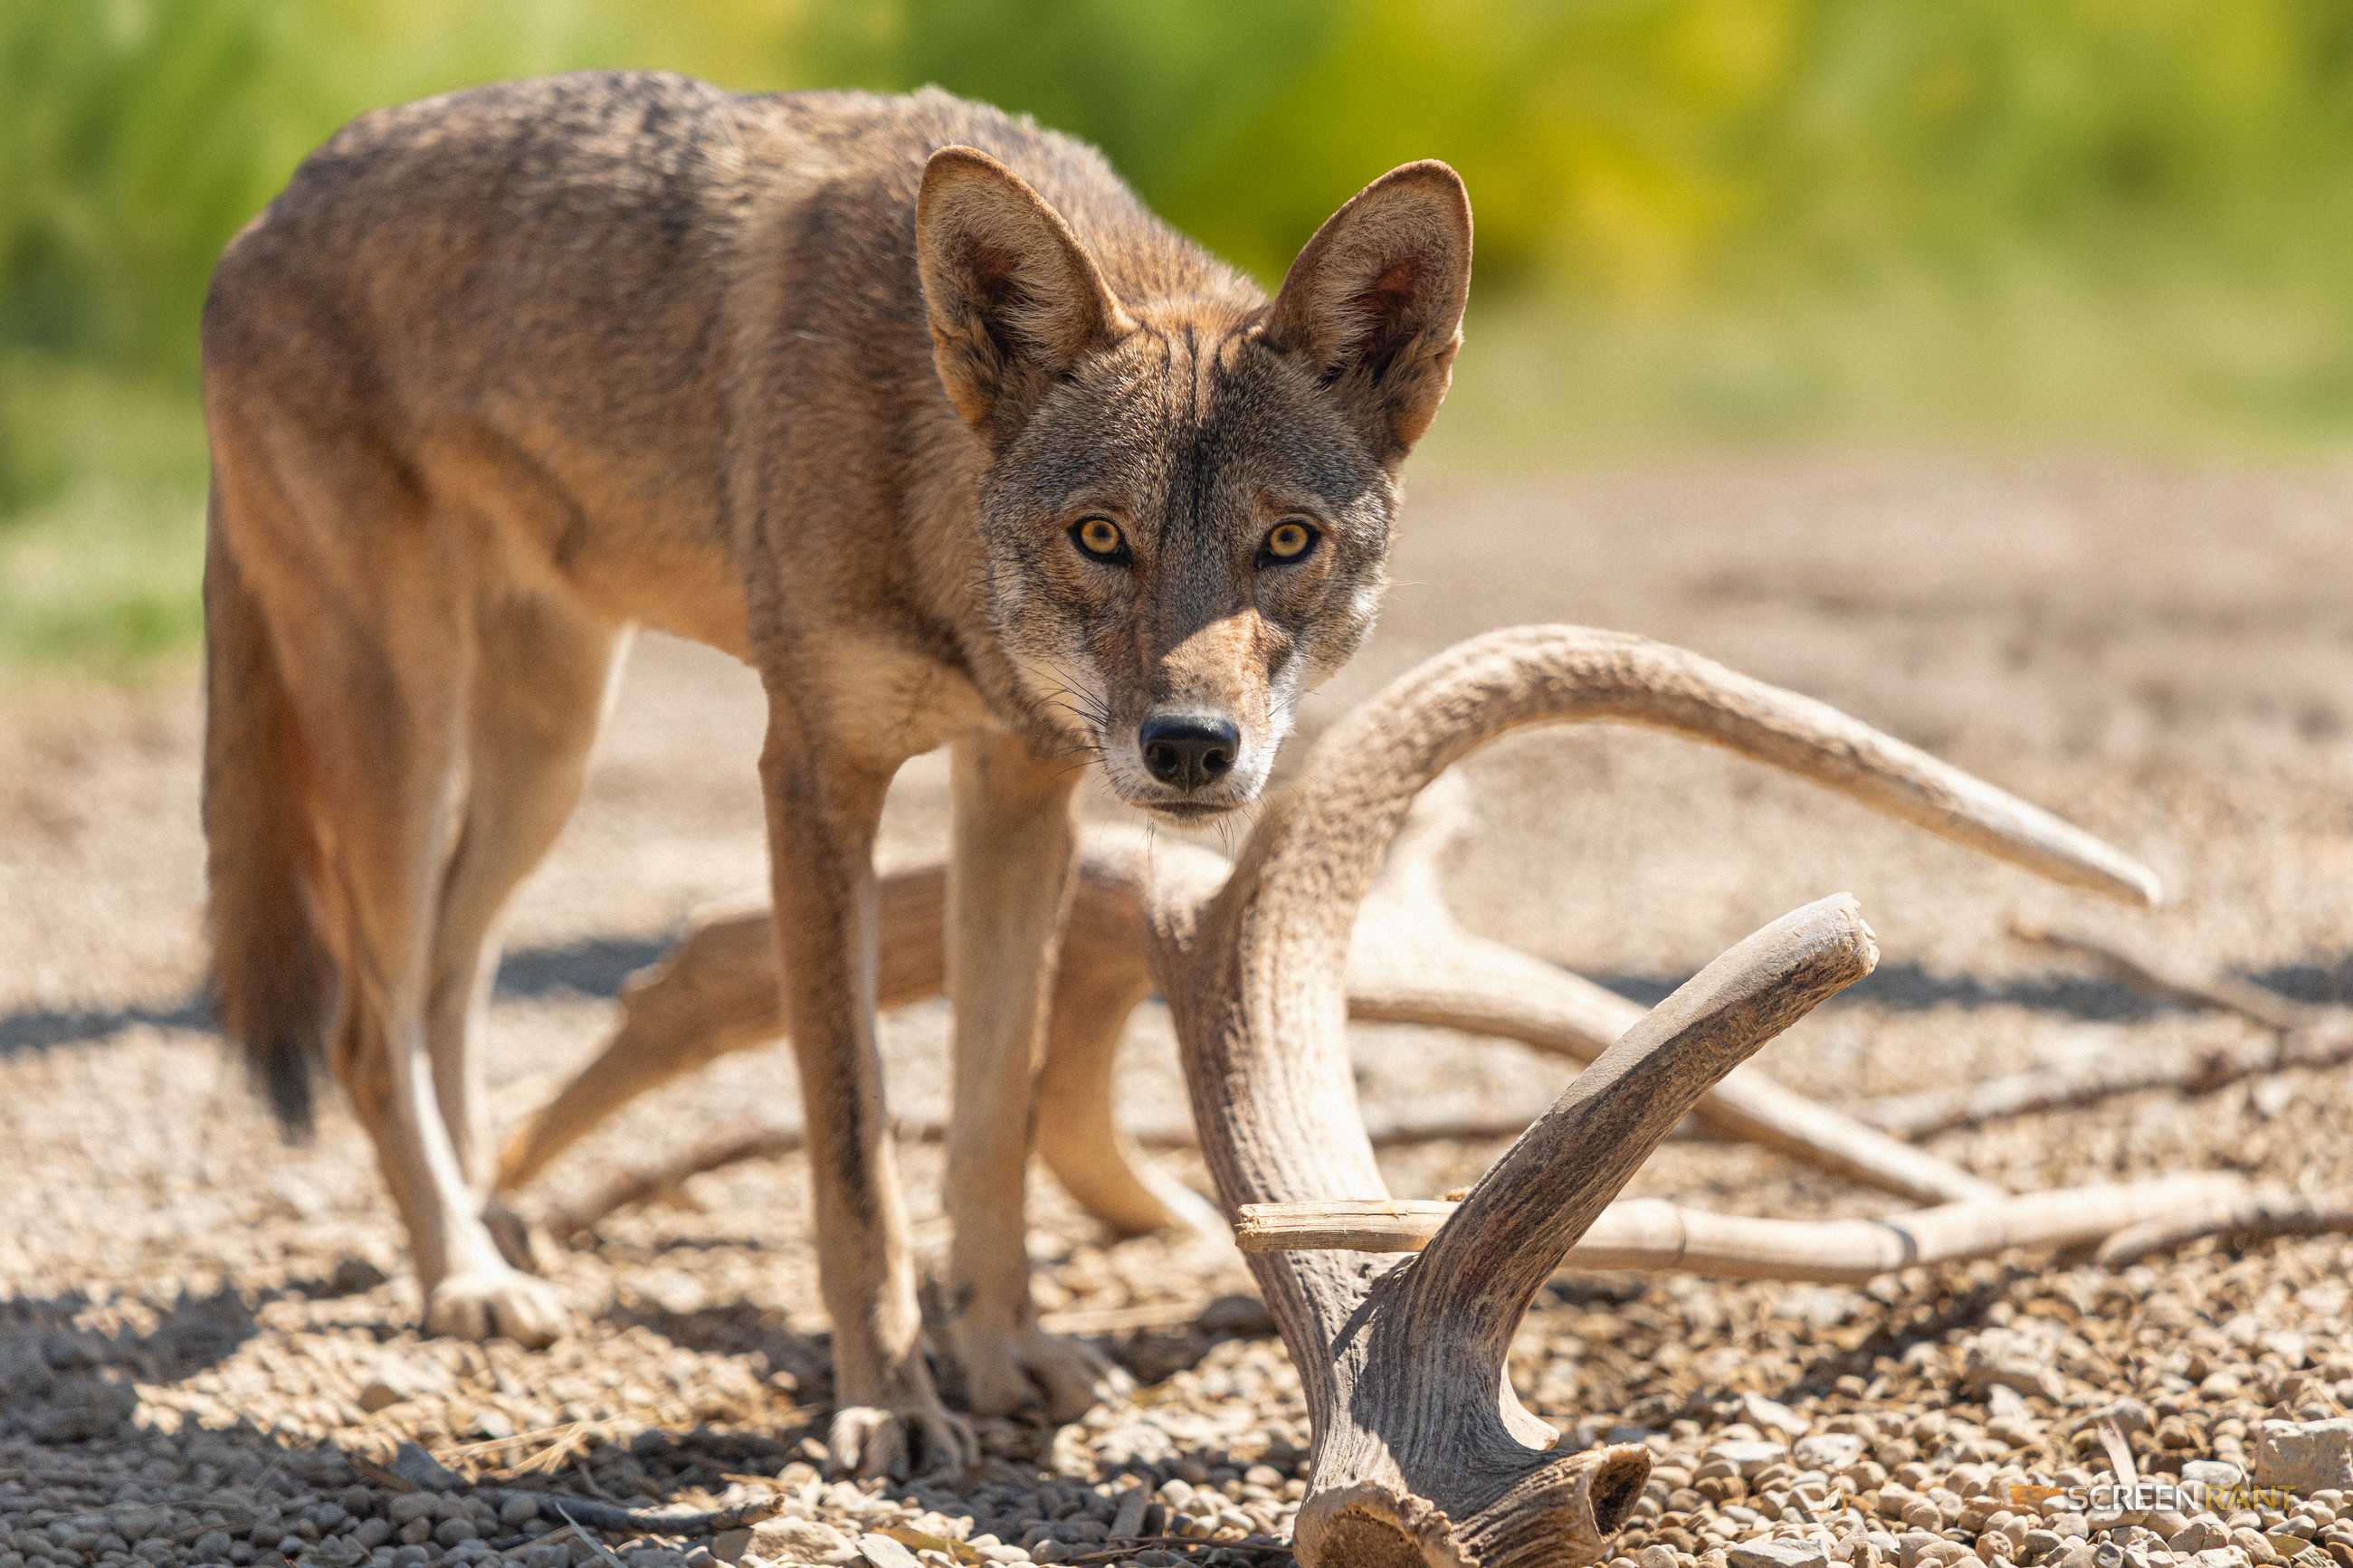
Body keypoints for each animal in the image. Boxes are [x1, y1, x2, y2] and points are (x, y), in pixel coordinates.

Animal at [198, 70, 1471, 1476]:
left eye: (1285, 543)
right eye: (1101, 537)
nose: (1191, 746)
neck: (936, 506)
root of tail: (263, 213)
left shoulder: (1016, 794)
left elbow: (992, 1122)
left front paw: (1002, 1354)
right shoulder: (813, 781)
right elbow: (857, 1149)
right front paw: (893, 1402)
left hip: (546, 755)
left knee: (442, 984)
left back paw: (495, 1223)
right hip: (405, 736)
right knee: (369, 1027)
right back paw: (464, 1276)